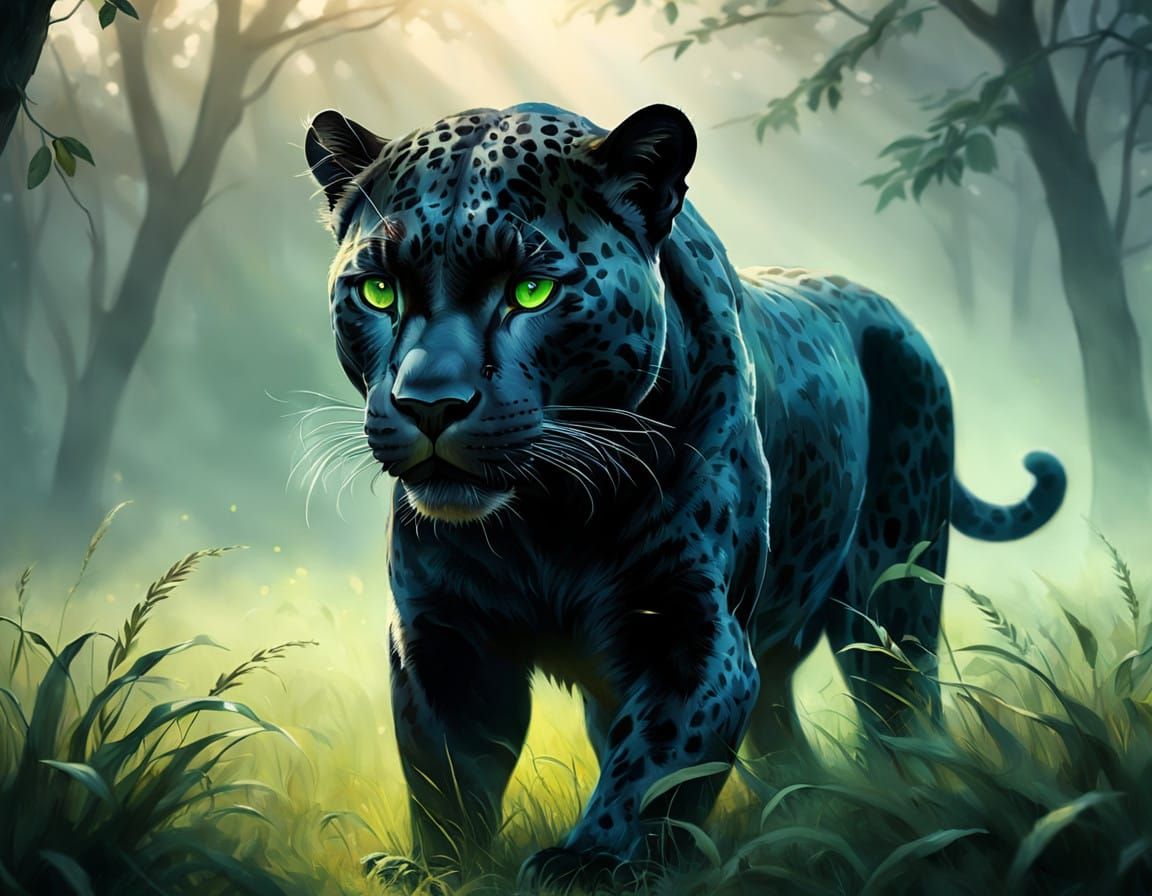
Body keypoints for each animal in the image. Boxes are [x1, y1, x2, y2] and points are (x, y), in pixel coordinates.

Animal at [303, 102, 1065, 890]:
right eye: (379, 290)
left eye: (531, 291)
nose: (429, 403)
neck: (545, 517)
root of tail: (891, 309)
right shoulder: (441, 632)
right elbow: (447, 773)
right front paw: (439, 870)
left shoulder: (697, 634)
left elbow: (655, 761)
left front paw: (590, 864)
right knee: (781, 730)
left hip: (892, 596)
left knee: (901, 708)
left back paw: (906, 808)